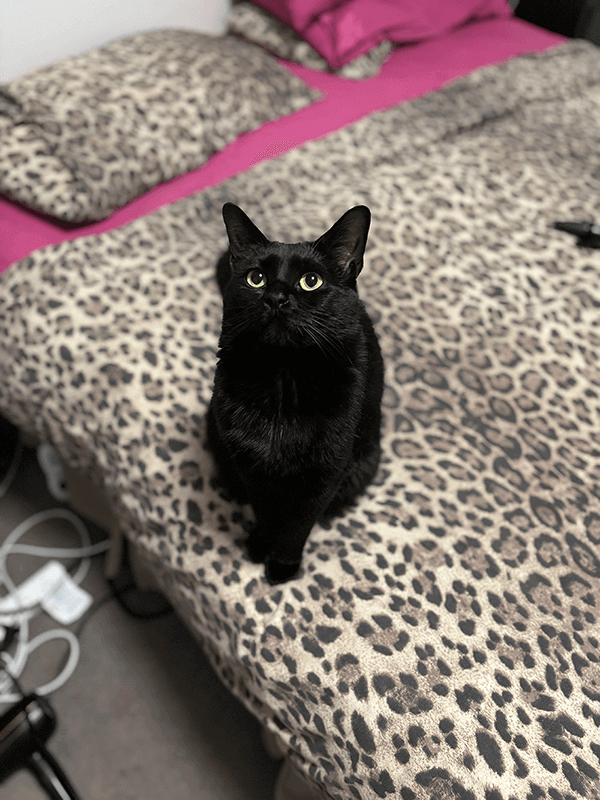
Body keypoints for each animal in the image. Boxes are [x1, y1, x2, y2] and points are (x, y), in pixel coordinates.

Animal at [206, 203, 384, 584]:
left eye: (310, 281)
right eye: (255, 278)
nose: (275, 298)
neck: (283, 381)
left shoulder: (323, 476)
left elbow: (297, 526)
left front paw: (281, 568)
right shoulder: (252, 466)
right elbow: (266, 512)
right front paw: (259, 546)